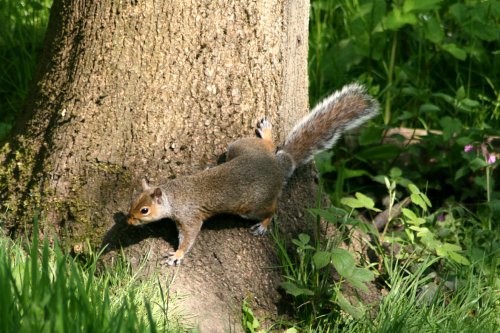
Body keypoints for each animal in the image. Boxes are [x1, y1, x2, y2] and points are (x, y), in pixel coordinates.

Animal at [127, 83, 376, 264]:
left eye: (144, 210)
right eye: (133, 202)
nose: (129, 221)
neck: (174, 194)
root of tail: (278, 165)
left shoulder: (190, 217)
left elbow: (188, 238)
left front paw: (177, 255)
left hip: (251, 206)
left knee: (271, 209)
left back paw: (263, 225)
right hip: (239, 147)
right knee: (266, 145)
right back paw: (265, 133)